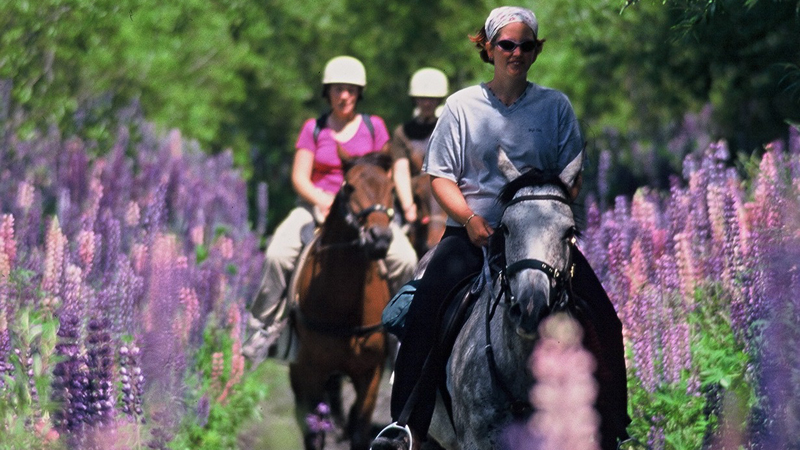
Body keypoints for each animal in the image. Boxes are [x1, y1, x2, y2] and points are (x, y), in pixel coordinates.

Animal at [290, 149, 396, 448]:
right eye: (349, 187)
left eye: (391, 189)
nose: (379, 238)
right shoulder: (311, 371)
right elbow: (314, 433)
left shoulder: (370, 373)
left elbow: (360, 429)